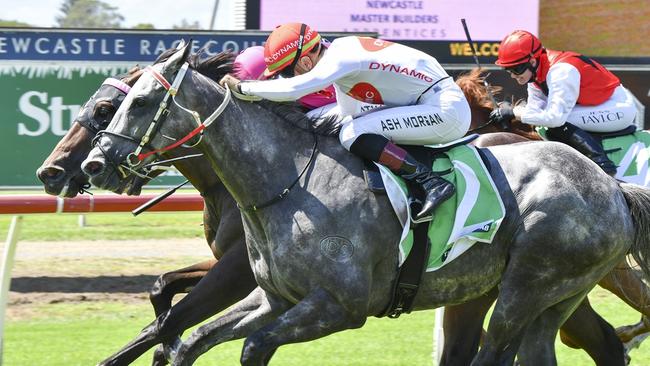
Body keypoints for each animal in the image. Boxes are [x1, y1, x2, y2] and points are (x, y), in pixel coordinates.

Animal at [82, 44, 650, 364]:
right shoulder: (273, 298)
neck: (289, 182)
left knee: (497, 351)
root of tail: (610, 186)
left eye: (138, 102)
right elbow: (190, 338)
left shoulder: (339, 306)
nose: (94, 164)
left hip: (528, 287)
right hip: (556, 296)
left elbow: (250, 347)